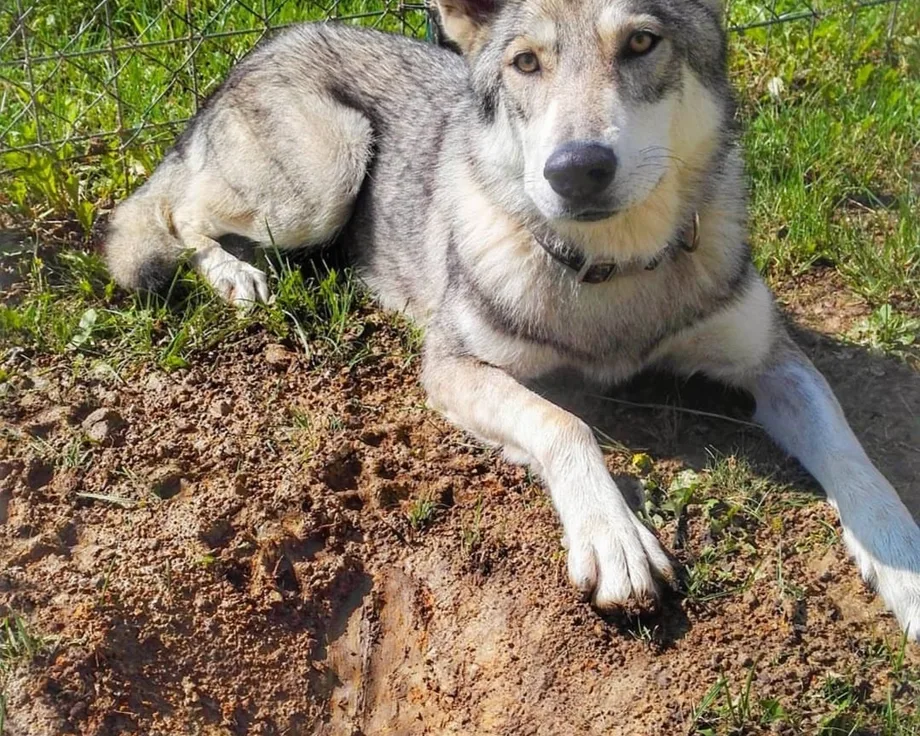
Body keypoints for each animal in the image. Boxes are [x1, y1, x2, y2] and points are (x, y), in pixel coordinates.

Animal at [103, 0, 920, 637]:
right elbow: (565, 422)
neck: (614, 272)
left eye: (641, 43)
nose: (576, 169)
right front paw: (614, 538)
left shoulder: (774, 362)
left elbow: (853, 456)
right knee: (173, 212)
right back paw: (234, 274)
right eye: (526, 63)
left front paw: (903, 565)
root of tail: (265, 44)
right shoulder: (452, 367)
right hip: (321, 178)